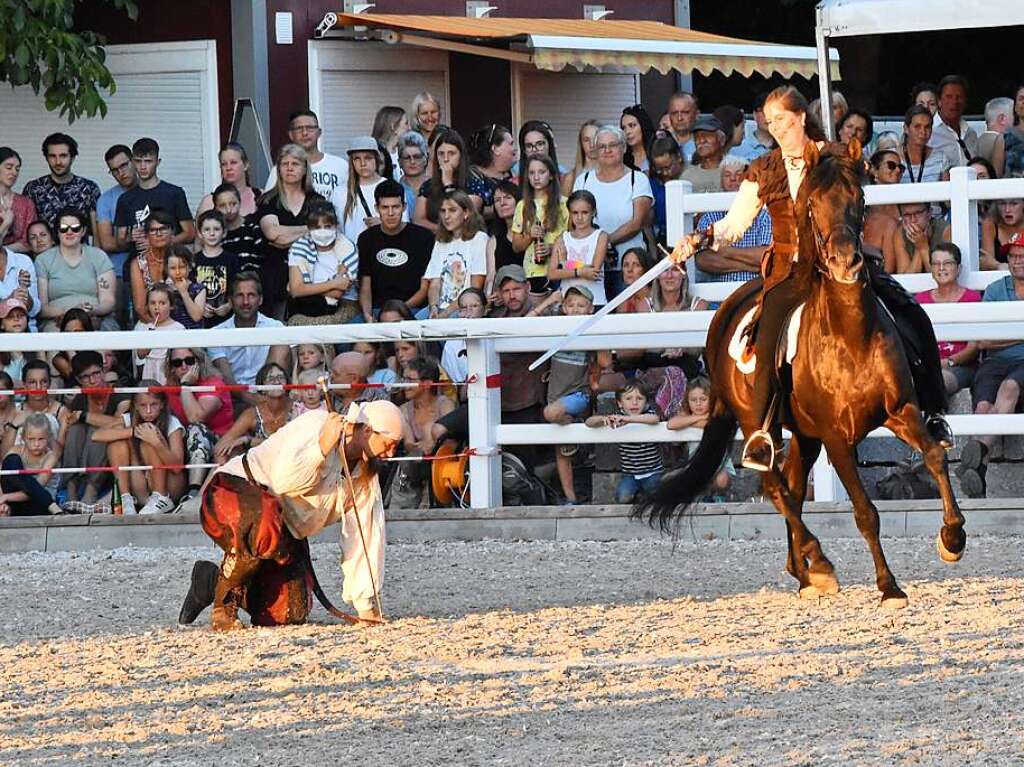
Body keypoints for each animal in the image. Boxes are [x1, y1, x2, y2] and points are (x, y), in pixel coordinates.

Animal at [634, 143, 962, 606]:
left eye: (860, 199)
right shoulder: (836, 438)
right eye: (812, 205)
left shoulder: (902, 411)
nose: (846, 263)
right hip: (759, 422)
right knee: (775, 485)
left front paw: (952, 539)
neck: (851, 335)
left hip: (805, 435)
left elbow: (934, 455)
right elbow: (865, 511)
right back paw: (818, 564)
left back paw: (804, 571)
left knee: (789, 484)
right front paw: (889, 586)